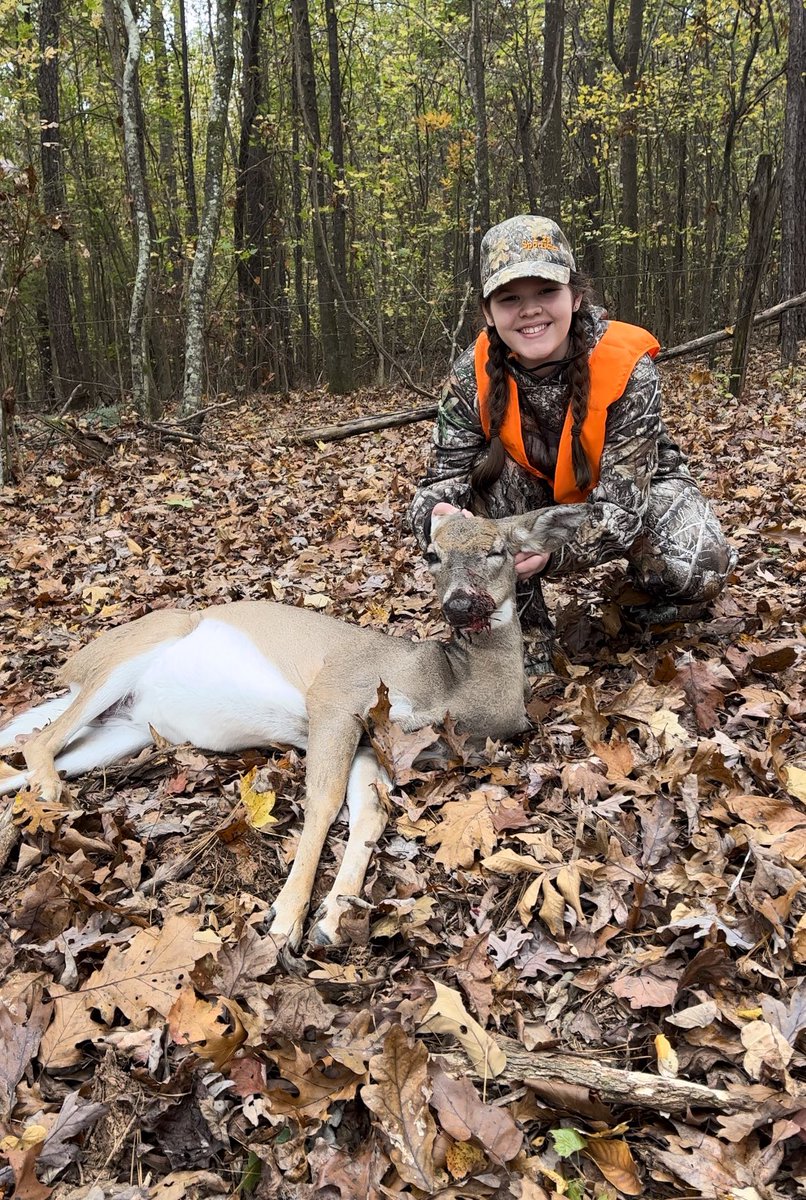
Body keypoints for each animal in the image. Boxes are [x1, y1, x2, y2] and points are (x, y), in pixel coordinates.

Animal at [0, 506, 585, 949]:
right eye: (432, 555)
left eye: (498, 549)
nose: (460, 604)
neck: (450, 687)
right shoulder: (339, 696)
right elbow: (323, 803)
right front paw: (285, 919)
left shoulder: (380, 748)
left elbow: (370, 815)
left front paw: (332, 919)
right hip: (137, 649)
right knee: (38, 738)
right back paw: (49, 797)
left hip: (125, 731)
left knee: (26, 747)